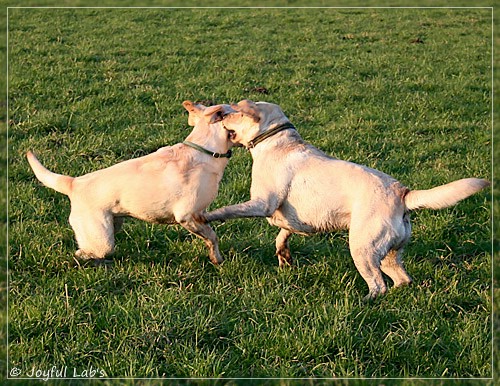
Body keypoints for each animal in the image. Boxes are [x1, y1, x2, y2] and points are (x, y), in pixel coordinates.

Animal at [28, 99, 235, 264]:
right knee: (84, 252)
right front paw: (217, 259)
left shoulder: (200, 214)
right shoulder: (187, 215)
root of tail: (74, 183)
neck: (205, 150)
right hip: (101, 240)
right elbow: (213, 236)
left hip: (114, 224)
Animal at [205, 99, 490, 298]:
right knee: (401, 280)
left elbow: (229, 210)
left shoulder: (263, 202)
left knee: (378, 285)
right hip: (388, 254)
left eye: (235, 112)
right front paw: (284, 257)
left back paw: (366, 303)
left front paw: (207, 216)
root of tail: (402, 193)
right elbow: (282, 236)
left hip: (362, 249)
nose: (222, 114)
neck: (277, 140)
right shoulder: (287, 217)